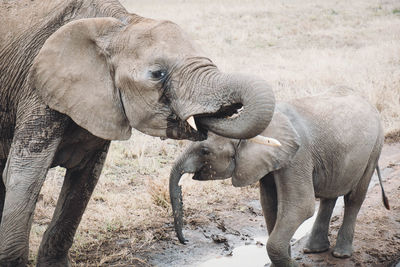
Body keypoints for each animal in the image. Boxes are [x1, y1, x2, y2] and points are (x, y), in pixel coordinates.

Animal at [0, 1, 276, 266]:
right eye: (157, 74)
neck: (121, 24)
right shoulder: (37, 90)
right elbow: (25, 176)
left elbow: (84, 180)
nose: (184, 240)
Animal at [169, 88, 388, 267]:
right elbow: (269, 205)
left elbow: (300, 206)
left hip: (375, 146)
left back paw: (341, 254)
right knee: (330, 194)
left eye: (205, 151)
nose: (184, 240)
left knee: (354, 198)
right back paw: (313, 250)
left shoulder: (298, 156)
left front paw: (292, 264)